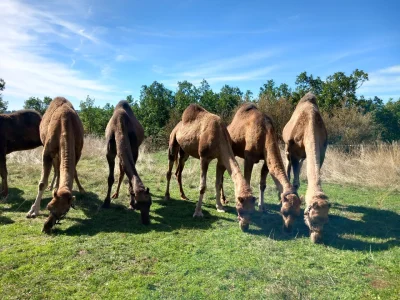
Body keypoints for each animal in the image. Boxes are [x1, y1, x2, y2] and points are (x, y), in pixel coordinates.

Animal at [26, 97, 85, 233]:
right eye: (48, 207)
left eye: (65, 210)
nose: (46, 227)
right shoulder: (47, 151)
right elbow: (42, 183)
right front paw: (33, 211)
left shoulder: (78, 151)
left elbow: (74, 171)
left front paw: (80, 189)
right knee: (56, 168)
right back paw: (52, 186)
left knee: (58, 168)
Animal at [282, 92, 328, 244]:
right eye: (311, 219)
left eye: (326, 220)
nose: (317, 238)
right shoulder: (294, 152)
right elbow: (295, 182)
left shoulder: (321, 151)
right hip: (287, 148)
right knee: (288, 165)